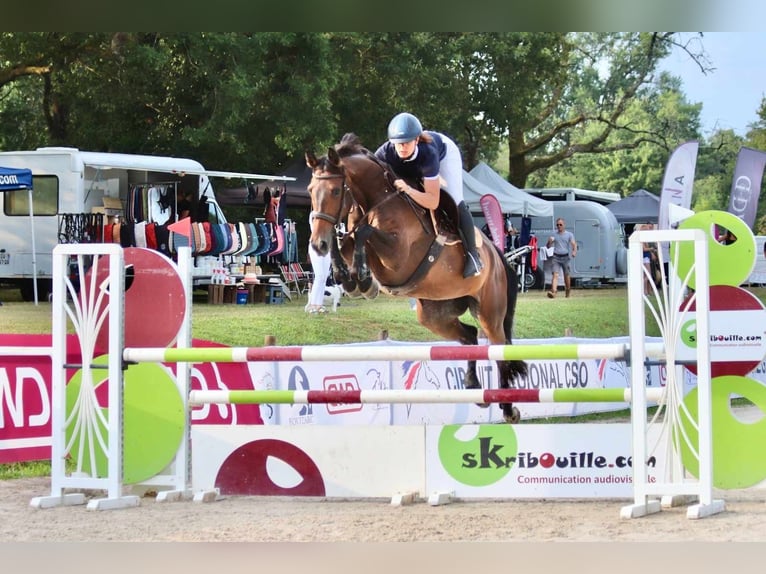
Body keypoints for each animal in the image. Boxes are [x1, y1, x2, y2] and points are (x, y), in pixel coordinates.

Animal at [306, 134, 528, 424]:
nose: (316, 244)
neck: (377, 202)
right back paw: (473, 387)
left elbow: (364, 233)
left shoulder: (398, 259)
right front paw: (350, 278)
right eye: (310, 190)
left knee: (498, 347)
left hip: (490, 311)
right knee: (469, 336)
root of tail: (497, 257)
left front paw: (362, 279)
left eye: (334, 191)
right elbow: (344, 240)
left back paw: (508, 408)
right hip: (434, 313)